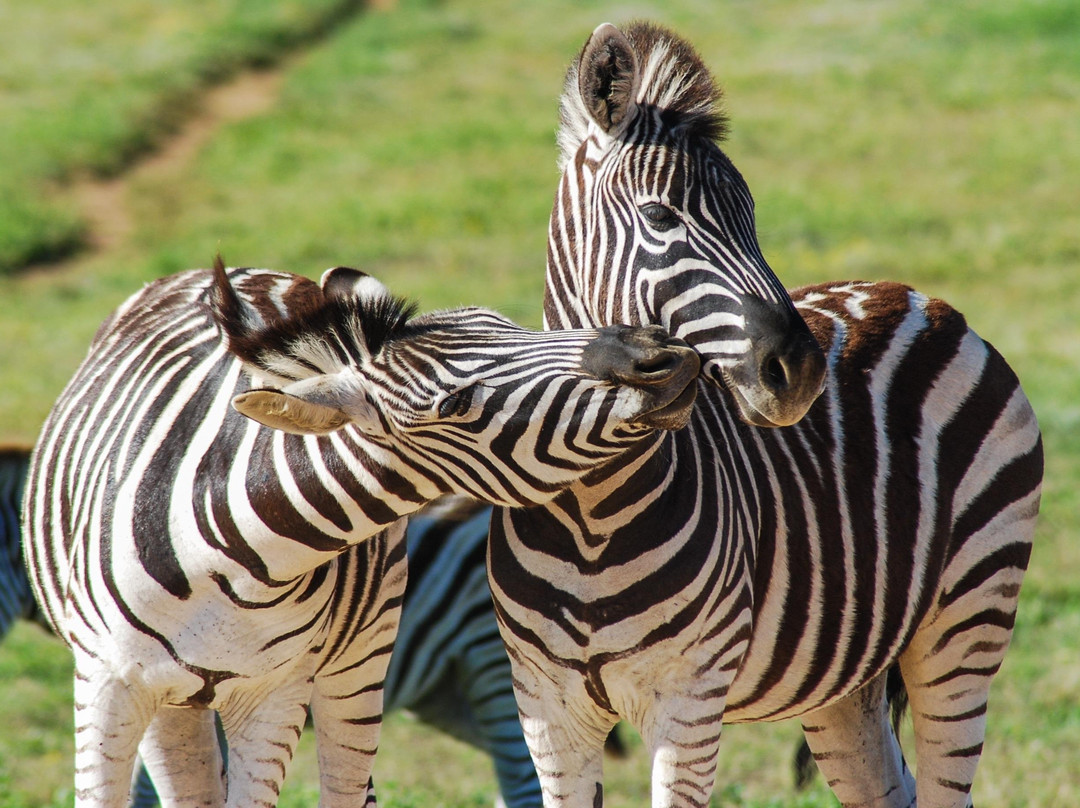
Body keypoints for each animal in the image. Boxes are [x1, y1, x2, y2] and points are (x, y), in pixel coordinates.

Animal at [23, 259, 699, 808]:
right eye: (457, 407)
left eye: (508, 323)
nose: (657, 352)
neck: (224, 556)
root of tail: (249, 274)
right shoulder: (105, 684)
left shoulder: (275, 695)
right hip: (174, 698)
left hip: (359, 660)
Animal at [486, 20, 1041, 808]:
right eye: (659, 216)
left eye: (752, 217)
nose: (801, 372)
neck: (592, 511)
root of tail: (918, 298)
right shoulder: (547, 712)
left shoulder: (689, 703)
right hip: (843, 678)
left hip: (967, 618)